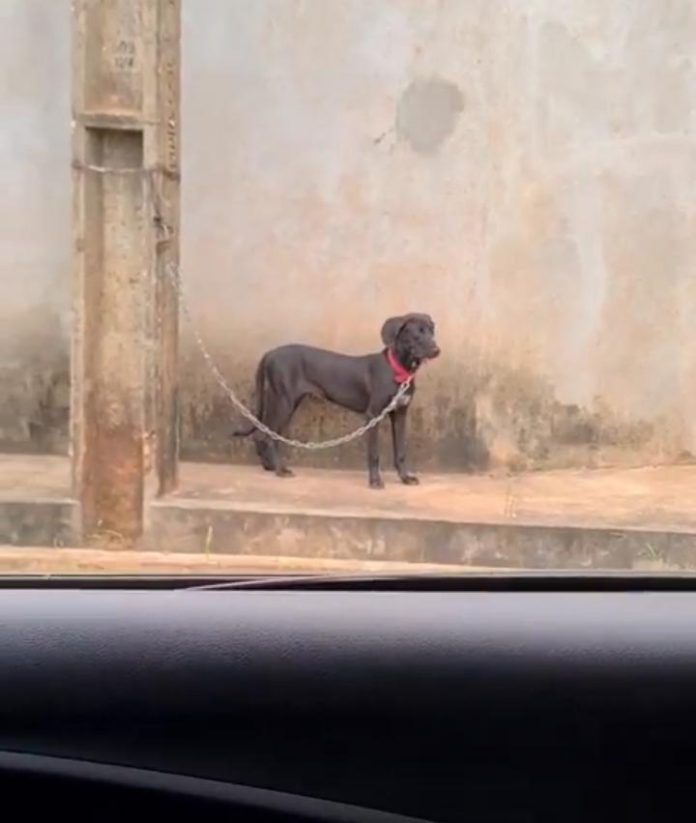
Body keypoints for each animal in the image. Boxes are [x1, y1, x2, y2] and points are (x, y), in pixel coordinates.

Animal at [237, 312, 438, 486]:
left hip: (286, 403)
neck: (398, 370)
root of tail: (269, 353)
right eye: (417, 333)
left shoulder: (400, 413)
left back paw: (270, 466)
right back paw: (280, 470)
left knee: (264, 434)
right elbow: (374, 453)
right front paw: (375, 481)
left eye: (431, 331)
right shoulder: (373, 415)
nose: (437, 350)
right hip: (283, 401)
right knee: (268, 436)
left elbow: (401, 451)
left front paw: (405, 478)